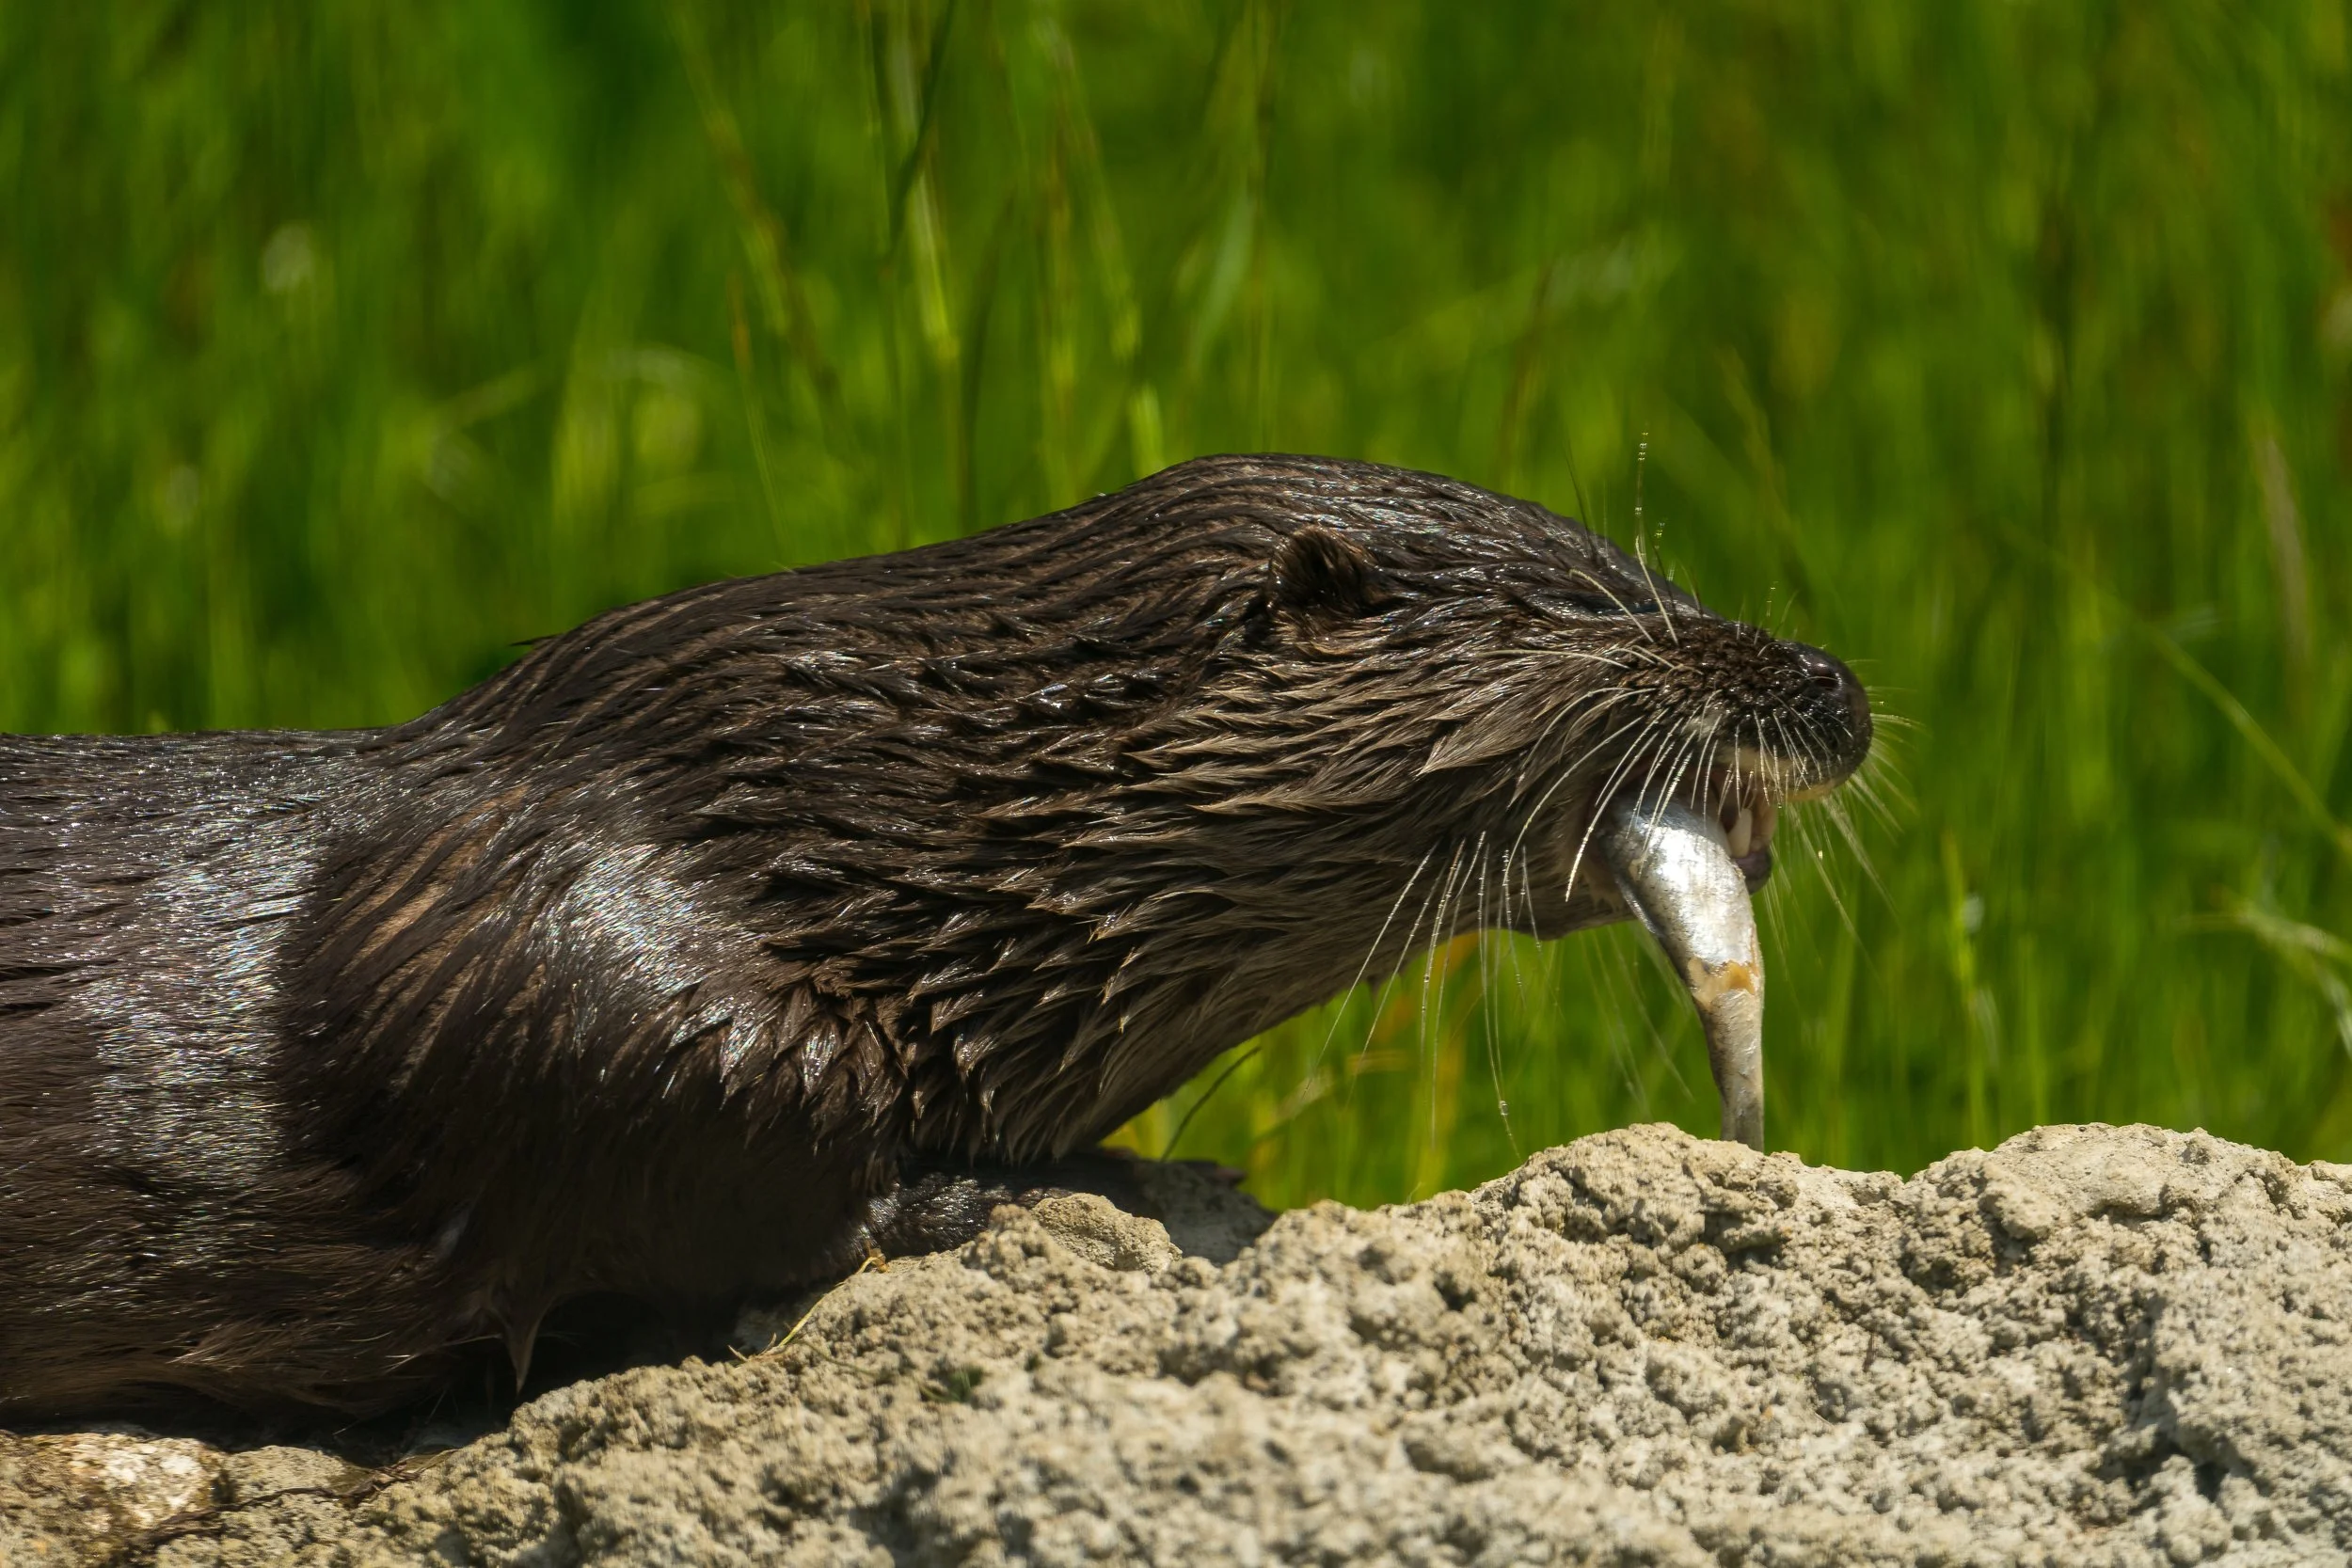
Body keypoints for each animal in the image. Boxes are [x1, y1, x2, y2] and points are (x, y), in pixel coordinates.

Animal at [0, 454, 1870, 1419]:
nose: (1831, 681)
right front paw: (976, 1195)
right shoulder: (548, 928)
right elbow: (686, 1106)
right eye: (1595, 608)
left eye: (1651, 569)